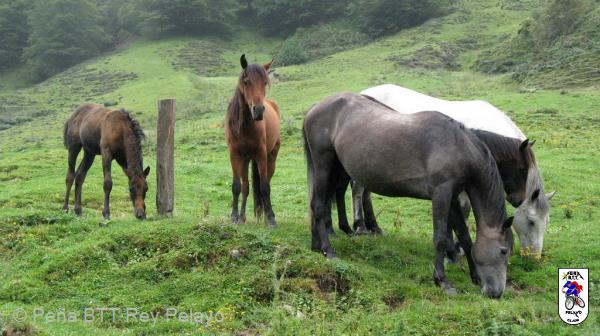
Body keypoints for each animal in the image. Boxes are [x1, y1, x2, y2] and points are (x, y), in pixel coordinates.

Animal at [225, 54, 282, 228]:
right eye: (246, 81)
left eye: (264, 82)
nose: (258, 110)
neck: (245, 126)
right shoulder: (235, 154)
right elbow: (237, 186)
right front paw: (234, 217)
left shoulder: (261, 154)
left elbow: (264, 186)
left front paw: (271, 219)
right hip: (246, 159)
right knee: (246, 186)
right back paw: (243, 216)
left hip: (270, 157)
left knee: (267, 181)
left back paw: (268, 215)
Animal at [302, 92, 512, 296]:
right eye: (504, 251)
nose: (496, 293)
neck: (457, 145)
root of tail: (315, 107)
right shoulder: (441, 195)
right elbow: (441, 239)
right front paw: (442, 281)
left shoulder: (452, 198)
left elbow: (465, 237)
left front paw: (475, 277)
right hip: (324, 164)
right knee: (319, 205)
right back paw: (328, 251)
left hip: (336, 167)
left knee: (318, 203)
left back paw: (316, 246)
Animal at [354, 82, 556, 256]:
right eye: (531, 221)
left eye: (546, 221)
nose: (534, 256)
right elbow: (464, 212)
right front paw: (458, 248)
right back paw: (361, 227)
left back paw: (374, 227)